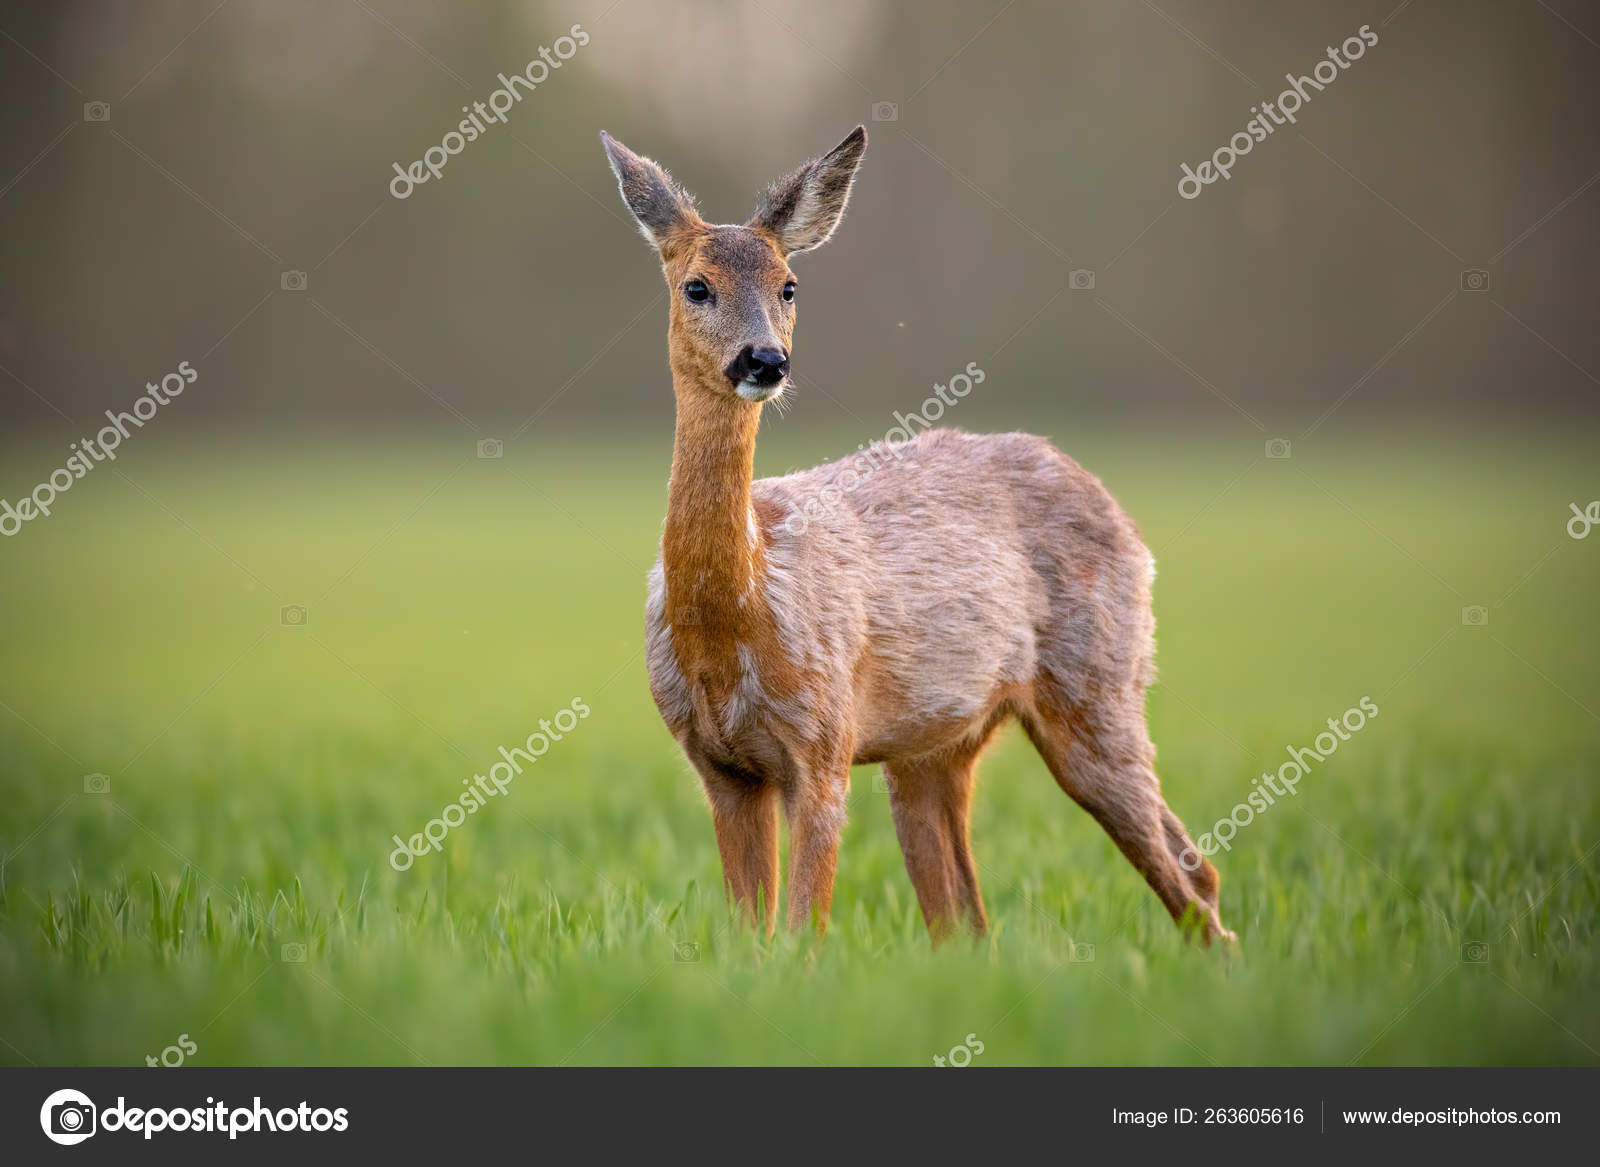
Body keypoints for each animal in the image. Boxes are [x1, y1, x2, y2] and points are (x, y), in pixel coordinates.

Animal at [601, 127, 1235, 941]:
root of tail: (1121, 515)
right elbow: (753, 938)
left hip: (1098, 684)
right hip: (935, 750)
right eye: (696, 286)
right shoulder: (721, 767)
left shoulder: (824, 741)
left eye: (789, 285)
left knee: (1190, 877)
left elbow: (803, 933)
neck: (733, 615)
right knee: (974, 917)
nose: (765, 360)